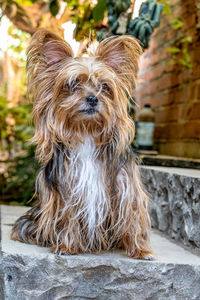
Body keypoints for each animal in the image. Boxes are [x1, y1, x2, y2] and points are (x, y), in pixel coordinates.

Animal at [10, 29, 152, 260]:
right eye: (73, 84)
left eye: (104, 86)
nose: (93, 99)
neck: (87, 132)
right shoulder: (68, 188)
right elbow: (69, 216)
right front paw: (67, 246)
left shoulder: (125, 186)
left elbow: (131, 216)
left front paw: (140, 250)